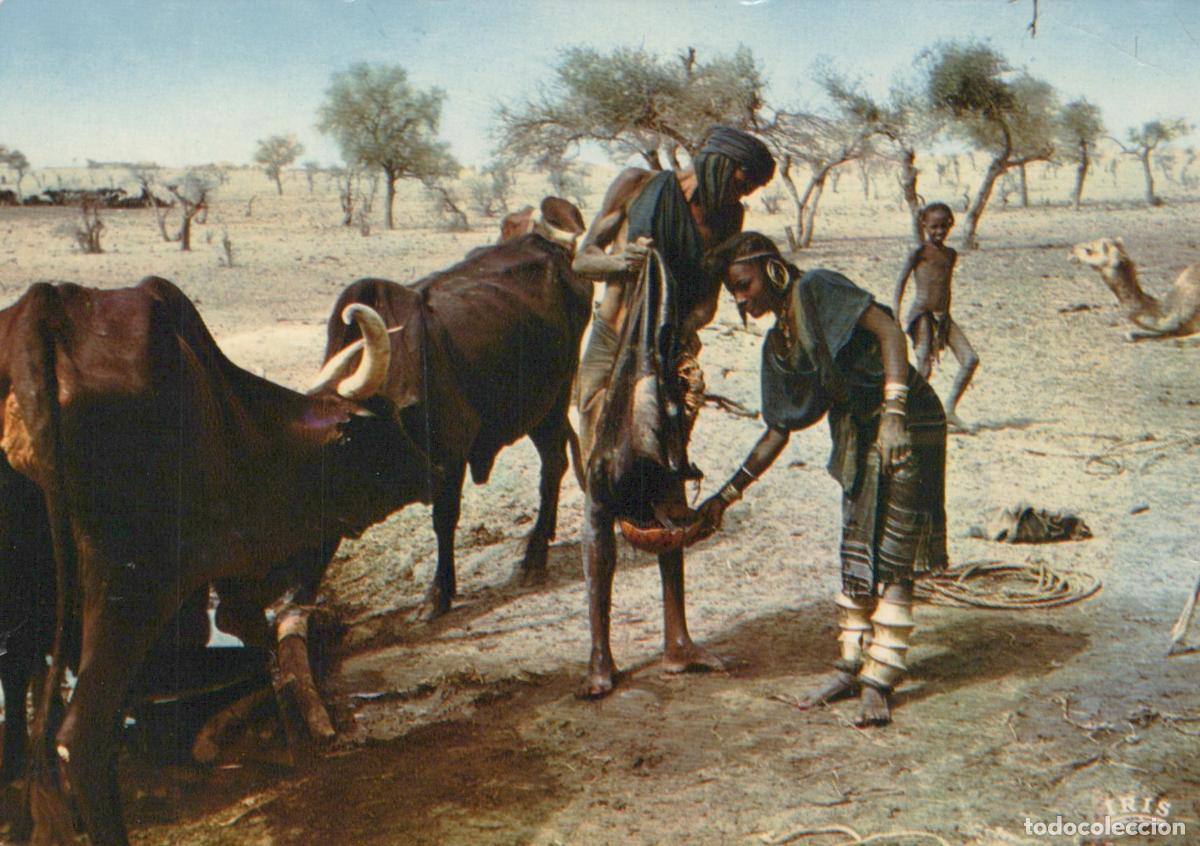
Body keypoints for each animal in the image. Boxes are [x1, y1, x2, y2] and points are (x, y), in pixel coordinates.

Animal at [0, 276, 437, 845]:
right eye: (379, 427)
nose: (434, 470)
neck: (241, 422)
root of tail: (43, 309)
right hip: (128, 593)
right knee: (81, 738)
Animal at [320, 196, 588, 618]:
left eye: (344, 436)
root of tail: (552, 249)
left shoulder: (449, 457)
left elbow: (443, 521)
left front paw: (438, 593)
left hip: (551, 403)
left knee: (553, 465)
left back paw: (534, 556)